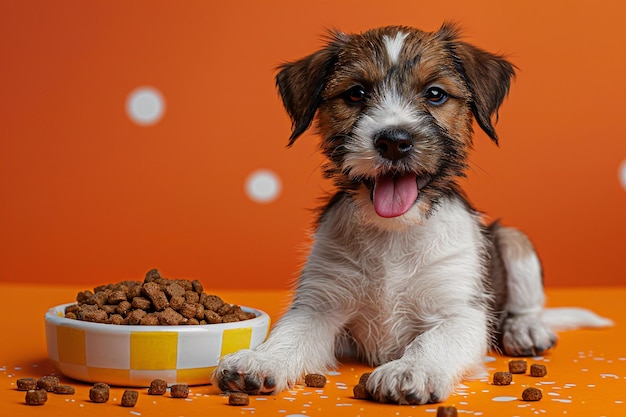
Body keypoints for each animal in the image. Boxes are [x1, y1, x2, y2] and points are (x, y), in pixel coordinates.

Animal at [213, 22, 604, 404]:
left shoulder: (460, 312)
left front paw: (410, 370)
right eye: (355, 93)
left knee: (527, 302)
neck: (394, 233)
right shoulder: (320, 304)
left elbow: (433, 340)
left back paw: (526, 329)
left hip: (512, 239)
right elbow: (290, 333)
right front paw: (260, 359)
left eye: (435, 94)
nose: (394, 141)